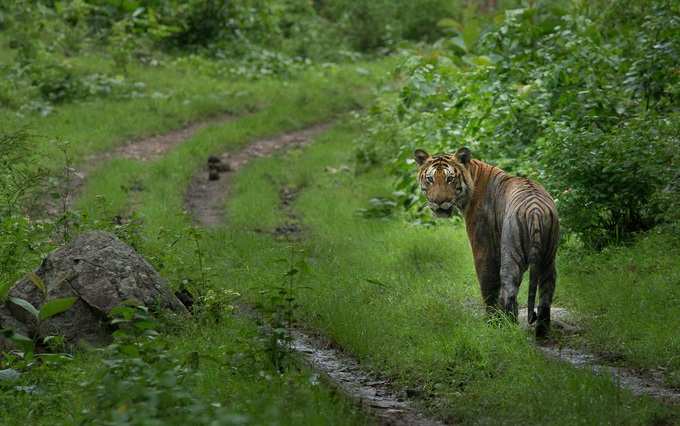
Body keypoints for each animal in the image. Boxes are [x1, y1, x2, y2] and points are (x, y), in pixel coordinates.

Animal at [412, 148, 560, 338]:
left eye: (450, 178)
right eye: (430, 179)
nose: (439, 202)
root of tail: (535, 211)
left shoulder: (483, 248)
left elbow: (488, 285)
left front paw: (491, 322)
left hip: (511, 256)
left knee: (509, 291)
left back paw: (508, 327)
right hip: (548, 259)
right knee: (546, 293)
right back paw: (542, 331)